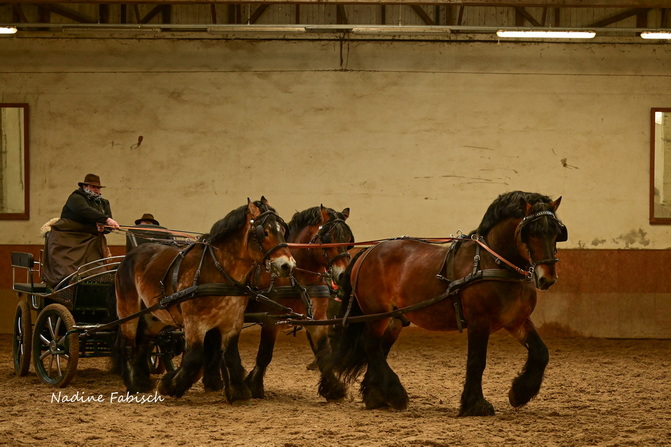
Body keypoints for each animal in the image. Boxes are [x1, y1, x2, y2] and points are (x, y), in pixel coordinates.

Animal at [114, 198, 296, 402]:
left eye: (282, 231)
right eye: (265, 232)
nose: (287, 265)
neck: (218, 271)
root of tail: (131, 254)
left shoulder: (233, 322)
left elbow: (231, 355)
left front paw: (238, 390)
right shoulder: (195, 323)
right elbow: (194, 358)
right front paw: (169, 386)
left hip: (155, 315)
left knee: (143, 341)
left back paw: (142, 381)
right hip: (128, 309)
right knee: (128, 344)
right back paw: (134, 384)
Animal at [201, 205, 355, 400]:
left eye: (349, 240)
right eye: (328, 238)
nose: (343, 276)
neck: (298, 279)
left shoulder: (317, 320)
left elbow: (324, 353)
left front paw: (334, 389)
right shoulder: (271, 320)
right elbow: (265, 354)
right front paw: (254, 385)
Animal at [319, 191, 568, 416]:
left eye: (557, 233)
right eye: (530, 233)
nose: (547, 278)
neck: (493, 262)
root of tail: (368, 250)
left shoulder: (516, 320)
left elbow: (541, 353)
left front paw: (520, 393)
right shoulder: (479, 321)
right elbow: (477, 361)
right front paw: (475, 405)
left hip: (394, 318)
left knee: (378, 348)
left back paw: (377, 397)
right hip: (377, 313)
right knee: (370, 345)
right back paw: (395, 394)